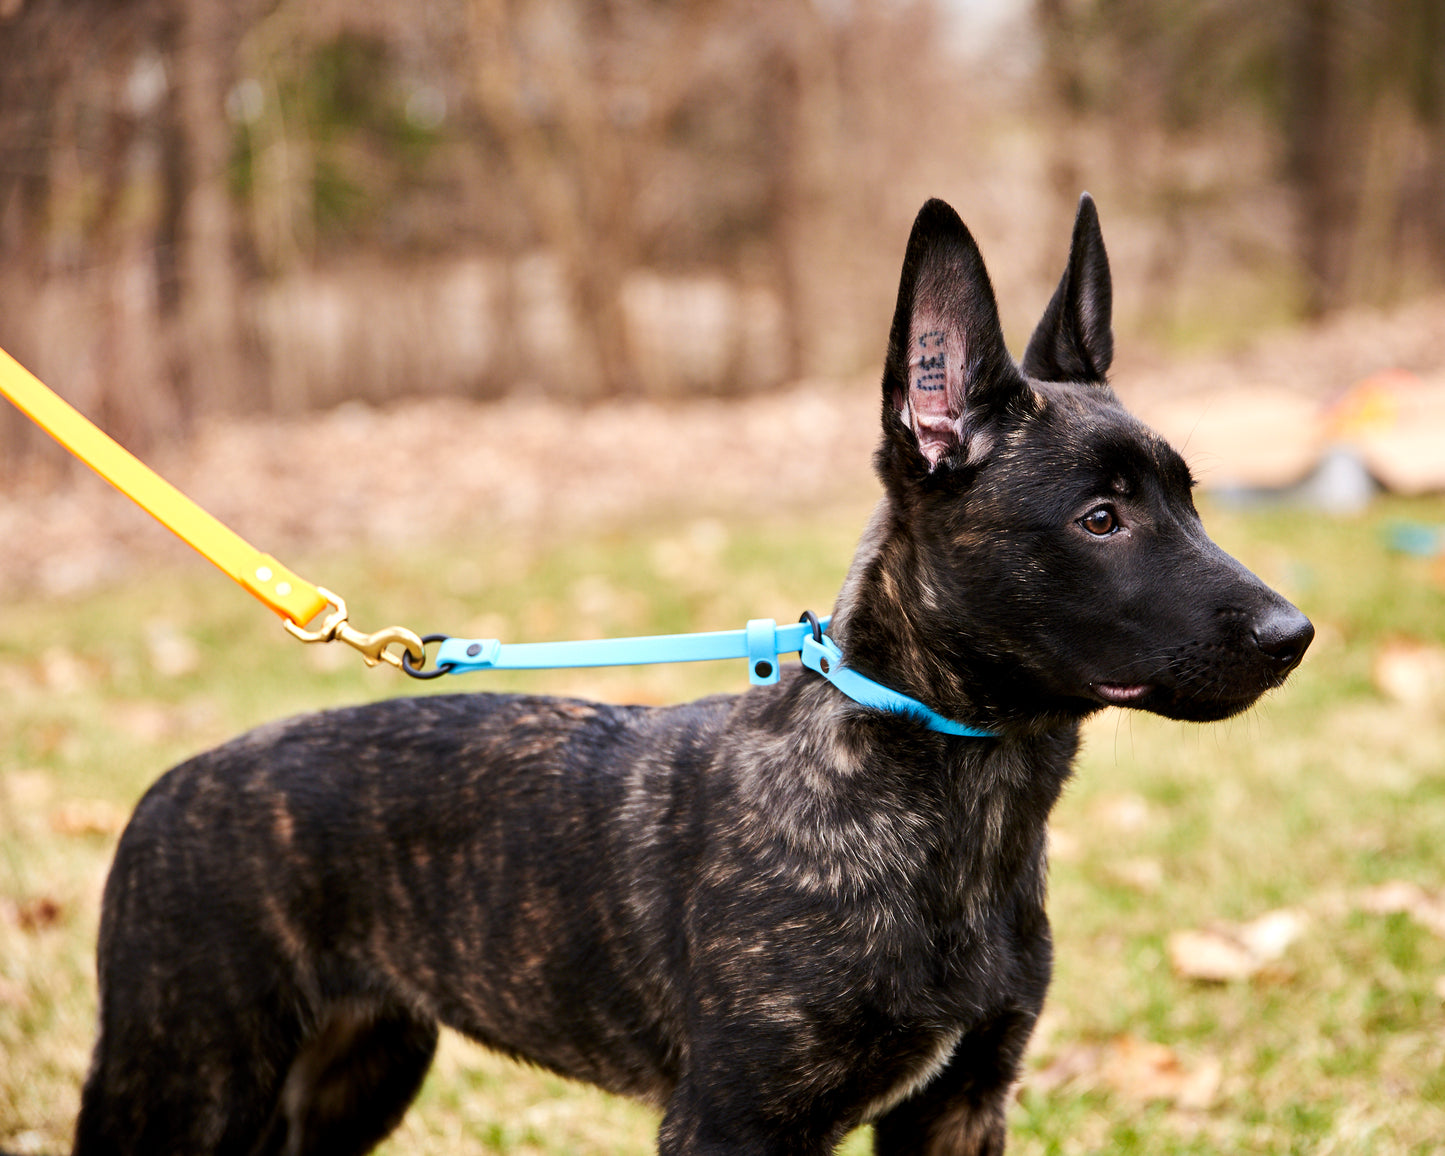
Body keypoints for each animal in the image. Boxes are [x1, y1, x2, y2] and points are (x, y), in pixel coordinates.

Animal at [70, 193, 1312, 1150]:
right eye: (1099, 519)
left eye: (1189, 498)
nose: (1293, 634)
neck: (935, 797)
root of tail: (169, 786)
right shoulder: (733, 1118)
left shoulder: (958, 1107)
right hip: (180, 1081)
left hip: (348, 1074)